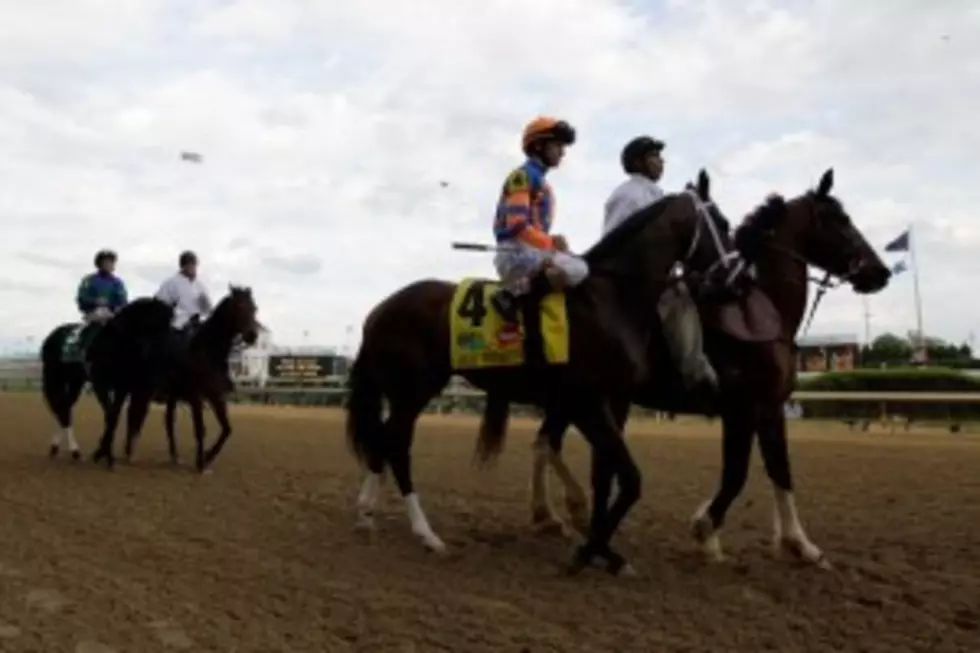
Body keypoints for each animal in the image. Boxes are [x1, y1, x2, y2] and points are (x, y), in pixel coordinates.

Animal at [346, 169, 752, 576]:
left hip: (409, 391)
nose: (742, 280)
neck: (610, 297)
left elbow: (604, 473)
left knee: (383, 440)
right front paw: (589, 549)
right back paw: (426, 534)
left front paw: (601, 548)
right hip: (413, 388)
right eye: (723, 223)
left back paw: (367, 515)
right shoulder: (587, 401)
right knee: (396, 444)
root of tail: (378, 311)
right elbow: (629, 479)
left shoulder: (602, 401)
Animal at [510, 171, 892, 568]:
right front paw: (707, 530)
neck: (760, 314)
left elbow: (778, 469)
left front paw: (797, 543)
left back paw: (553, 515)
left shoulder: (769, 409)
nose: (881, 272)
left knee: (546, 443)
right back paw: (563, 513)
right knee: (549, 444)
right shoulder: (746, 409)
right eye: (842, 220)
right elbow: (739, 474)